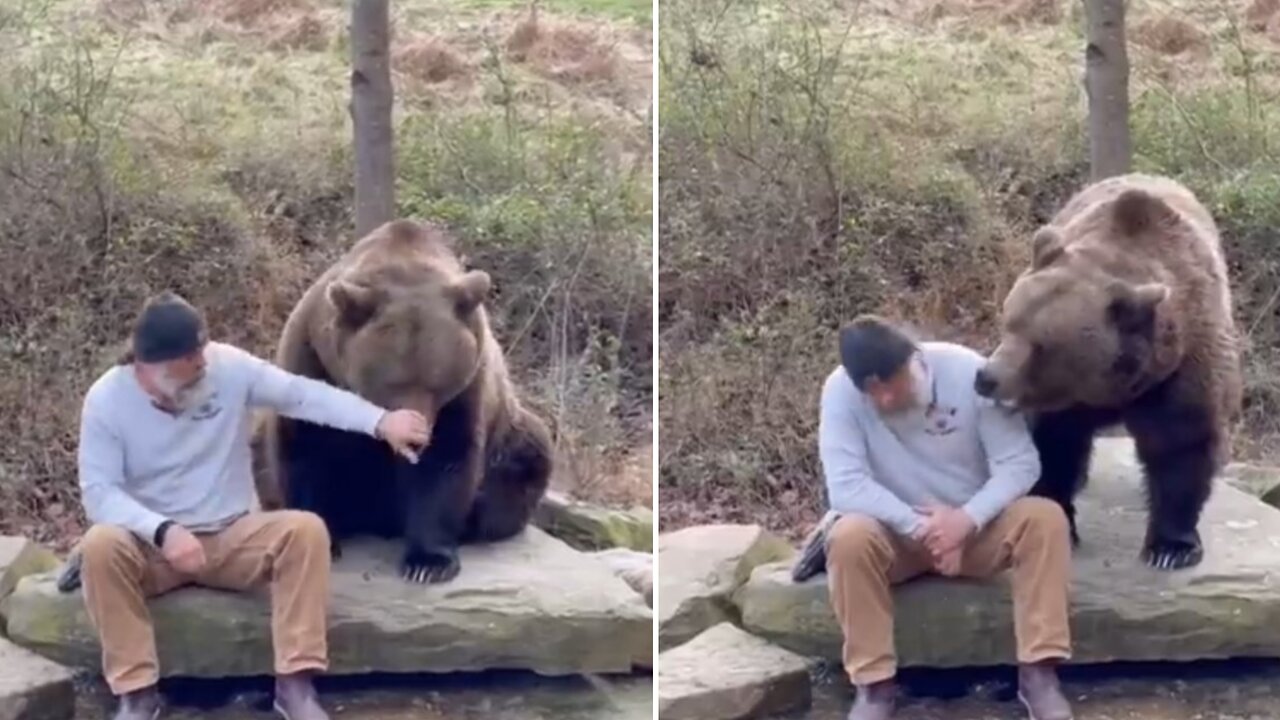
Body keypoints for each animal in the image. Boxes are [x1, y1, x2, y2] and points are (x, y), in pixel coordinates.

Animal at [258, 215, 555, 579]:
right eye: (390, 385)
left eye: (438, 383)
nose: (416, 438)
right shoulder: (314, 358)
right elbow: (305, 446)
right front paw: (323, 536)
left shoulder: (467, 391)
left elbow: (446, 460)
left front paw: (428, 562)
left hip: (511, 435)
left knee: (526, 458)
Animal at [977, 170, 1239, 568]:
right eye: (1009, 323)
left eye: (1041, 345)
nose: (987, 378)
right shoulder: (1059, 398)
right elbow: (1054, 442)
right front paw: (1058, 515)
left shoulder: (1182, 366)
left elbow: (1181, 442)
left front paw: (1171, 548)